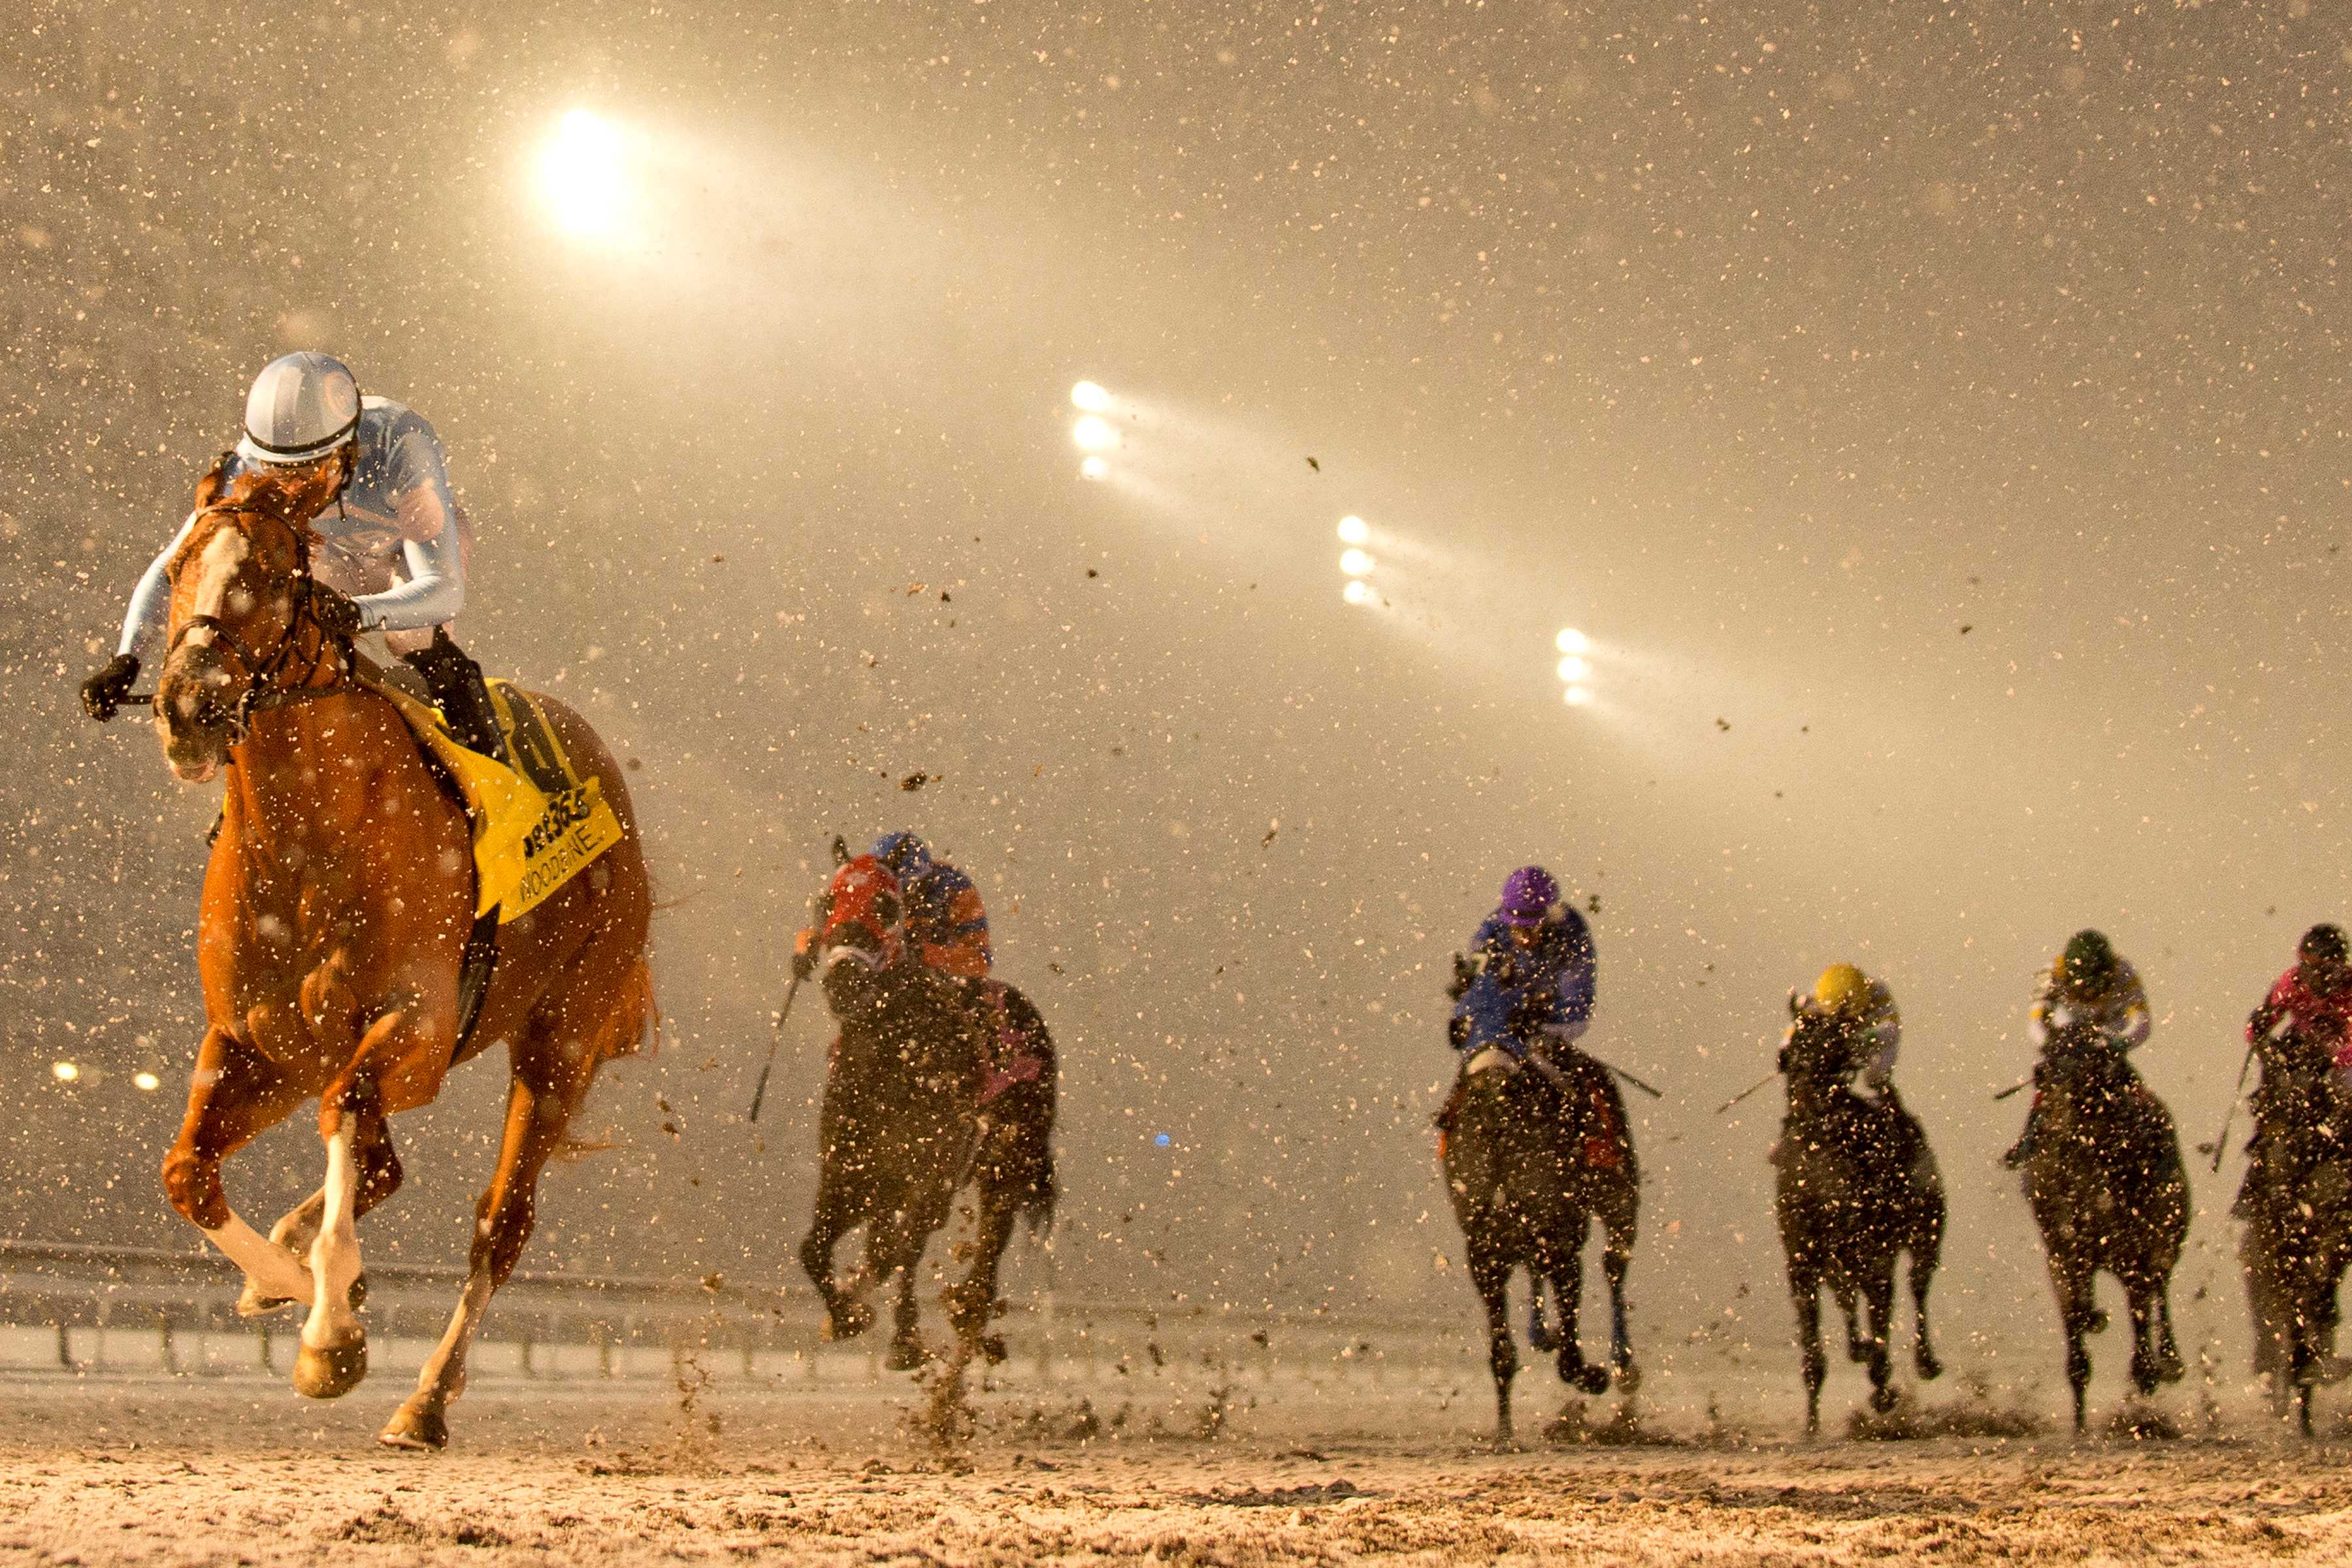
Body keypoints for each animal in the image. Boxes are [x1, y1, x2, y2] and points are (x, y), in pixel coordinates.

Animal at [140, 463, 653, 1448]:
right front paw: (293, 1282)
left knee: (500, 1222)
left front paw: (331, 1332)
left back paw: (425, 1400)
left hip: (563, 1037)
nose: (189, 706)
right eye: (180, 564)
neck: (309, 839)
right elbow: (187, 1174)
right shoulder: (256, 1041)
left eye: (272, 572)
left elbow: (349, 1113)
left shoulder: (414, 1033)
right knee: (379, 1167)